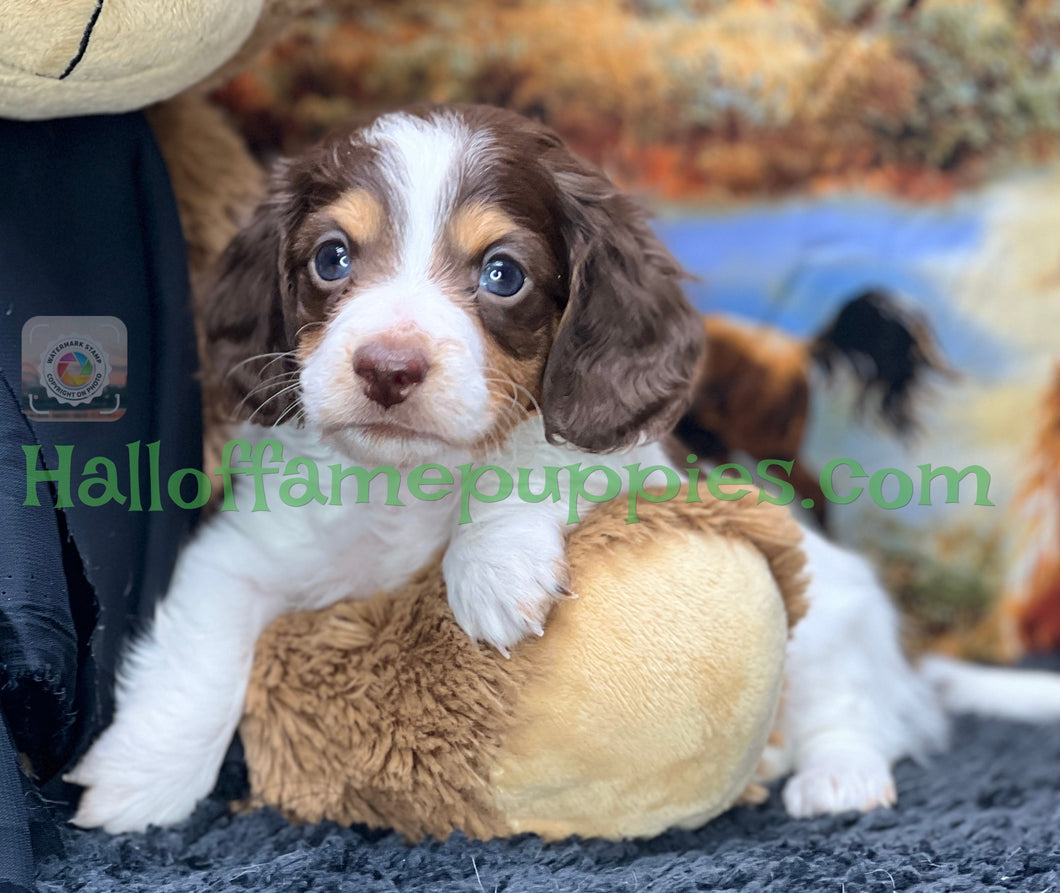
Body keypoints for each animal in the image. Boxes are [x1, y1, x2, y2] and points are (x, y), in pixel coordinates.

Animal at [66, 106, 1060, 835]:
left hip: (832, 614)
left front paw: (491, 566)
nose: (387, 367)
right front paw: (144, 780)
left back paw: (837, 772)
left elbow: (542, 455)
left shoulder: (642, 463)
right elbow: (199, 648)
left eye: (503, 273)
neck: (414, 483)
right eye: (331, 257)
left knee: (863, 706)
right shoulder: (245, 548)